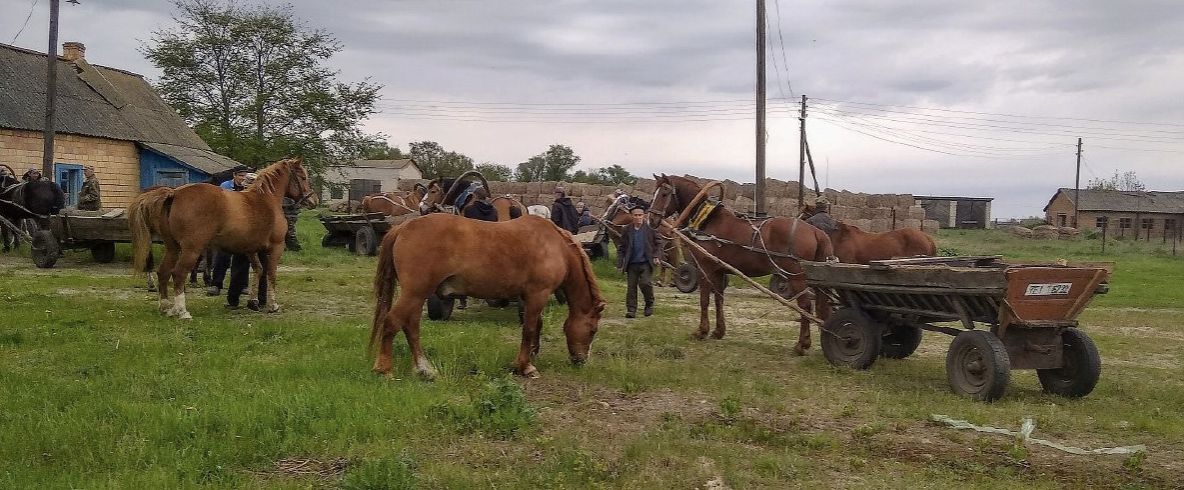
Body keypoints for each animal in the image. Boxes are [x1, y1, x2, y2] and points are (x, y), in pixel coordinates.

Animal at [128, 157, 317, 319]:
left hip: (173, 247)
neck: (266, 199)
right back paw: (182, 311)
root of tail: (174, 193)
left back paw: (165, 307)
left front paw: (253, 301)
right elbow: (270, 273)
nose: (313, 200)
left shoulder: (251, 250)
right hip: (191, 249)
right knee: (178, 274)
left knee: (163, 272)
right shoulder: (275, 247)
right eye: (303, 177)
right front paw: (272, 305)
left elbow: (258, 270)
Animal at [371, 213, 606, 378]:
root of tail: (403, 227)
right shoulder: (538, 294)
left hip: (418, 295)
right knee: (392, 322)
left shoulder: (528, 296)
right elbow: (529, 329)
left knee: (411, 327)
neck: (556, 246)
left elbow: (535, 325)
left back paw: (424, 369)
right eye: (592, 330)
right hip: (415, 293)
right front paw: (525, 366)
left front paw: (531, 354)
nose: (580, 360)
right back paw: (384, 369)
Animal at [650, 174, 833, 354]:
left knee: (805, 306)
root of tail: (815, 231)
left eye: (664, 193)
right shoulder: (719, 271)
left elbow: (704, 300)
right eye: (654, 192)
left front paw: (701, 331)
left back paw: (802, 344)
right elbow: (718, 299)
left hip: (795, 277)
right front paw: (718, 331)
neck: (707, 221)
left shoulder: (705, 268)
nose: (651, 219)